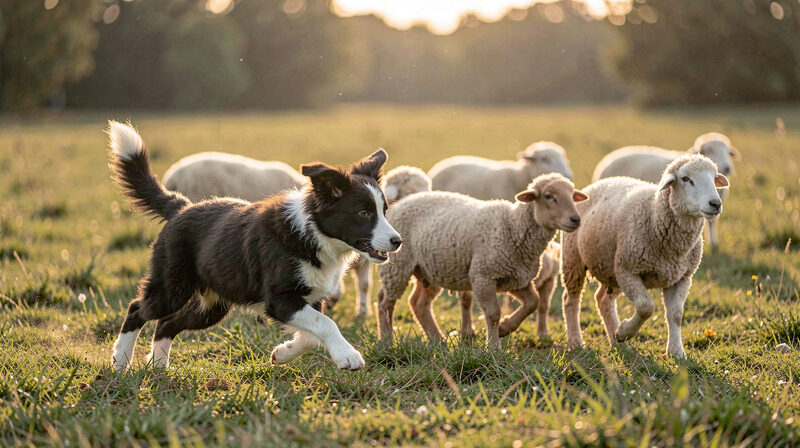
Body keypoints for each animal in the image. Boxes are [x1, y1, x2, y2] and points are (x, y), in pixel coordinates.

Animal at [376, 173, 588, 349]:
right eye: (549, 196)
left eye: (572, 195)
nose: (576, 219)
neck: (512, 226)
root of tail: (399, 202)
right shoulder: (483, 275)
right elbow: (493, 313)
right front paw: (494, 347)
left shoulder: (515, 277)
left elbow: (533, 302)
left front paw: (504, 328)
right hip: (398, 267)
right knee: (385, 303)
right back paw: (387, 340)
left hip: (428, 270)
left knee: (418, 304)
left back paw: (438, 340)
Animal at [561, 155, 729, 358]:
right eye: (685, 179)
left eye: (714, 178)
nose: (715, 203)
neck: (654, 213)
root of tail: (592, 186)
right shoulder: (628, 271)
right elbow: (645, 307)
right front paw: (625, 331)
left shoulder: (682, 277)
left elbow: (676, 314)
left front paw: (676, 351)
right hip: (574, 260)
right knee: (571, 300)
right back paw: (576, 341)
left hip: (611, 270)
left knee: (603, 300)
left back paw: (617, 342)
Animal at [592, 132, 739, 249]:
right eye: (710, 150)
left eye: (728, 152)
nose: (727, 168)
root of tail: (606, 161)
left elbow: (712, 223)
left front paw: (714, 244)